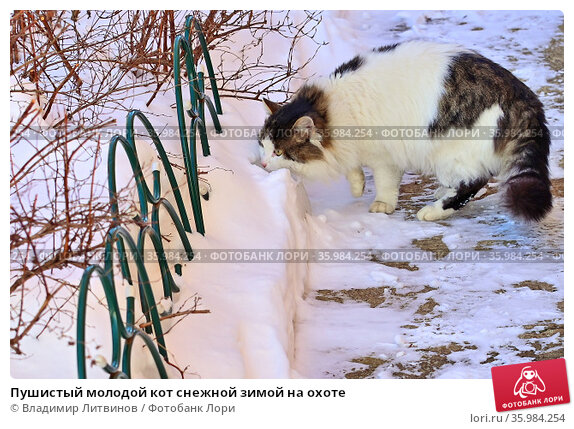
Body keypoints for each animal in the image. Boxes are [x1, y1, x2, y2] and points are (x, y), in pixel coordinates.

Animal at [258, 40, 552, 221]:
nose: (261, 164)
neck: (331, 109)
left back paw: (435, 210)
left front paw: (382, 204)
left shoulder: (384, 156)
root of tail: (522, 94)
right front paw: (357, 185)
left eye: (279, 152)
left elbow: (386, 183)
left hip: (450, 153)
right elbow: (352, 168)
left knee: (474, 182)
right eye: (263, 146)